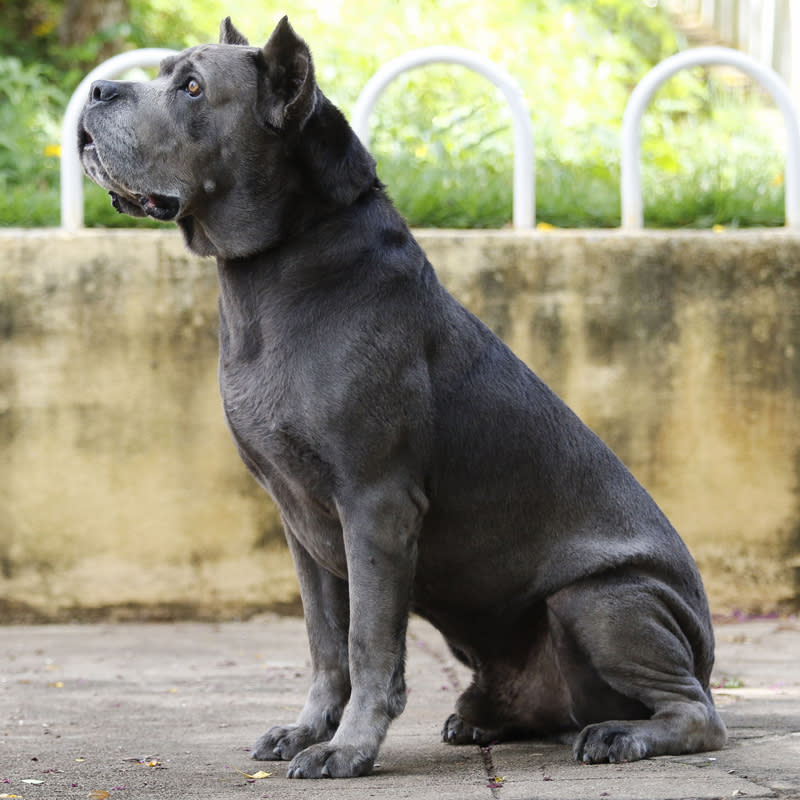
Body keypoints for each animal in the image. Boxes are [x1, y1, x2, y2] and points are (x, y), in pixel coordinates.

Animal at [78, 14, 728, 780]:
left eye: (192, 87)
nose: (97, 91)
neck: (277, 264)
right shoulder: (302, 519)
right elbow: (325, 640)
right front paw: (307, 731)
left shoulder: (376, 503)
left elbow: (368, 642)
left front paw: (348, 748)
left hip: (606, 597)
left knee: (698, 713)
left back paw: (621, 736)